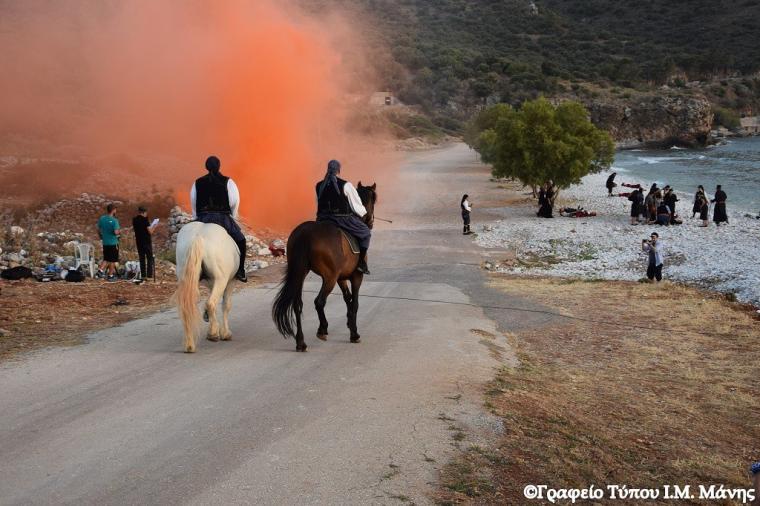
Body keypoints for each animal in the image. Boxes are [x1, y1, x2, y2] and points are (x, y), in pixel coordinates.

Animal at [175, 223, 240, 354]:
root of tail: (197, 237)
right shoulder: (231, 281)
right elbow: (226, 305)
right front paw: (225, 333)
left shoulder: (211, 283)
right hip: (221, 279)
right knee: (211, 303)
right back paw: (213, 334)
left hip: (186, 278)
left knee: (187, 307)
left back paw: (190, 345)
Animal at [274, 182, 380, 352]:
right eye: (373, 200)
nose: (370, 222)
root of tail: (305, 234)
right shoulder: (357, 276)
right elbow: (355, 303)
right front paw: (354, 334)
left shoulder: (341, 278)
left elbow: (347, 298)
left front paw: (350, 324)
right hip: (329, 278)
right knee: (319, 302)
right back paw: (322, 329)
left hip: (300, 274)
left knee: (297, 305)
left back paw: (301, 342)